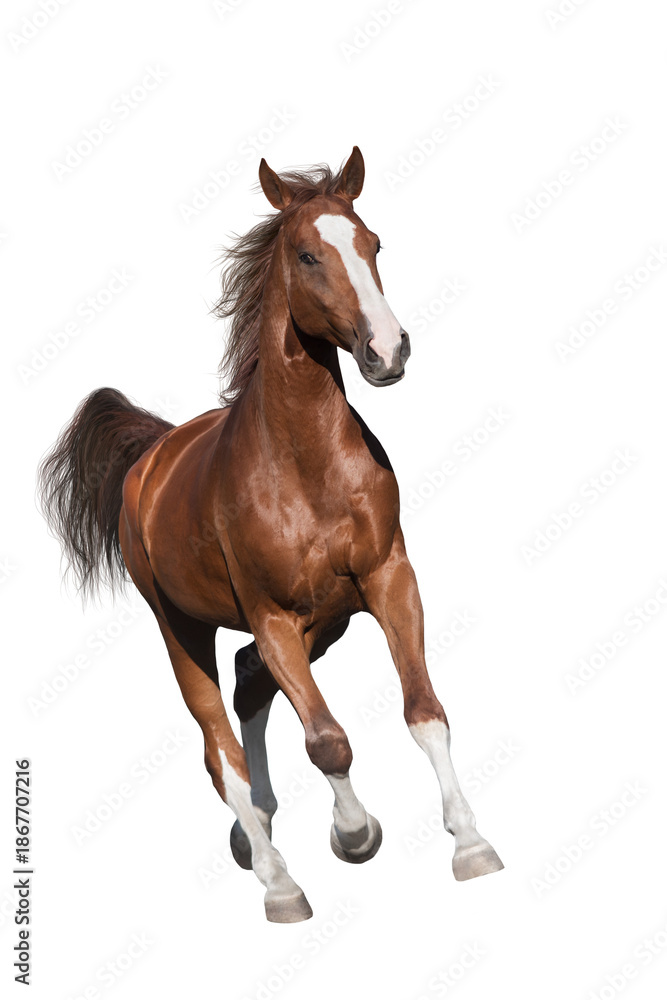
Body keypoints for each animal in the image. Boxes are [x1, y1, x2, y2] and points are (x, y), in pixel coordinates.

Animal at [38, 147, 503, 923]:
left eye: (374, 244)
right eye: (308, 254)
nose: (387, 350)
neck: (305, 464)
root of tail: (153, 455)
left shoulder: (387, 579)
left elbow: (424, 712)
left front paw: (470, 845)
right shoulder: (272, 614)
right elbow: (327, 741)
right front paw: (355, 834)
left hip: (328, 620)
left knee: (250, 684)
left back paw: (254, 828)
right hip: (181, 627)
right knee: (218, 745)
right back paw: (276, 879)